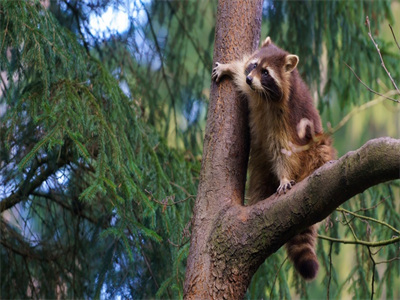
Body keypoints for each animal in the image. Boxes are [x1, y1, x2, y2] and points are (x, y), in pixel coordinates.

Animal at [211, 36, 336, 280]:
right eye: (254, 65)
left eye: (266, 72)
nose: (250, 79)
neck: (263, 94)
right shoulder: (254, 90)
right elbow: (240, 76)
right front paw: (232, 68)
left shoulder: (286, 116)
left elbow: (284, 149)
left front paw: (285, 176)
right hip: (261, 167)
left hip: (317, 152)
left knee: (318, 152)